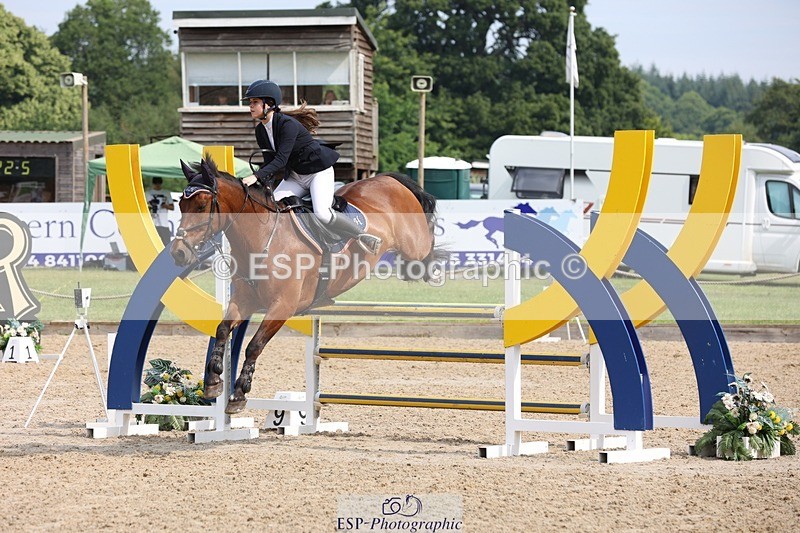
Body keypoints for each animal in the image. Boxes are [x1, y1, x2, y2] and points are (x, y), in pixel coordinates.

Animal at [170, 159, 442, 414]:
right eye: (180, 205)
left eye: (202, 205)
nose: (179, 254)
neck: (262, 238)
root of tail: (388, 180)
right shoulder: (245, 300)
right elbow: (223, 329)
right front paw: (214, 380)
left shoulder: (283, 306)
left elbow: (254, 345)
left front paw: (238, 394)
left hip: (413, 244)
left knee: (426, 244)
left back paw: (427, 266)